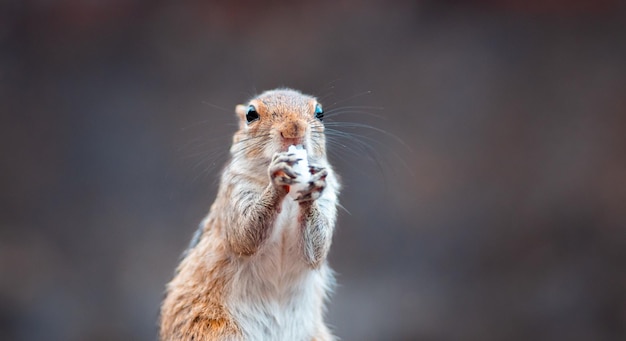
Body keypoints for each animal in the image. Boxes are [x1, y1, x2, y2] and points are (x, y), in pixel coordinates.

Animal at [158, 88, 338, 340]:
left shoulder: (329, 197)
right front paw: (277, 178)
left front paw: (311, 188)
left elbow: (316, 251)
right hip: (213, 328)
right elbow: (244, 235)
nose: (293, 129)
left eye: (320, 112)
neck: (289, 197)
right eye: (251, 114)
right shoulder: (234, 192)